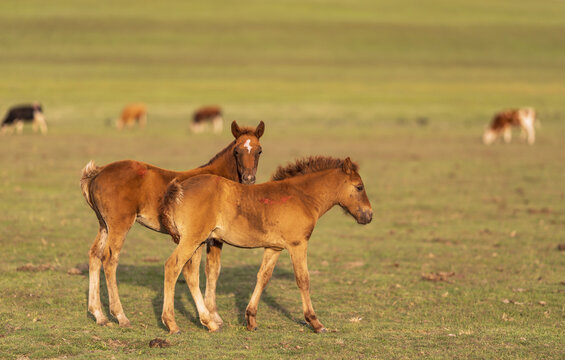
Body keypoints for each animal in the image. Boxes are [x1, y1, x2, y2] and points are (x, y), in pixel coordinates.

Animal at [80, 120, 264, 326]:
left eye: (259, 151)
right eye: (237, 151)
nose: (249, 179)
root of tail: (98, 172)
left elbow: (211, 269)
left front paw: (212, 315)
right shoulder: (212, 237)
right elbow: (210, 270)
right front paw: (212, 316)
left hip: (104, 225)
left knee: (94, 255)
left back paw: (99, 314)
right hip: (120, 225)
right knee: (110, 259)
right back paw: (121, 316)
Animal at [159, 156, 372, 334]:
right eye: (359, 187)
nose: (369, 216)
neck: (302, 197)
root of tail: (179, 189)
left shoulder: (274, 248)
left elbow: (263, 277)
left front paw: (251, 320)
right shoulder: (298, 244)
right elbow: (303, 279)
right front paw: (315, 322)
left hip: (198, 242)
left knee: (190, 274)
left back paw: (209, 323)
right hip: (192, 239)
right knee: (172, 267)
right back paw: (172, 324)